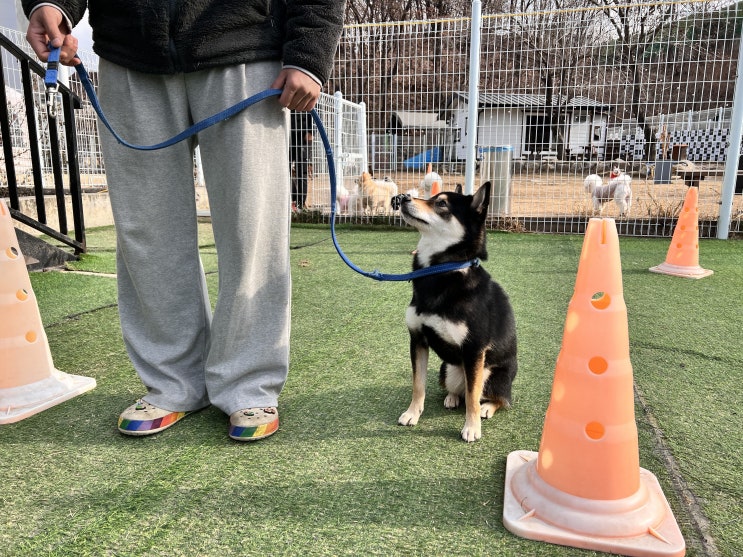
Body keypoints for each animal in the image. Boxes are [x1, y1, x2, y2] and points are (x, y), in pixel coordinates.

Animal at [396, 185, 516, 440]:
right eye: (431, 197)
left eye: (441, 204)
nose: (402, 198)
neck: (440, 270)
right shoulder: (417, 339)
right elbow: (418, 384)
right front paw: (412, 413)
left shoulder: (474, 350)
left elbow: (472, 397)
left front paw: (471, 428)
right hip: (448, 369)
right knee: (459, 391)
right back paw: (451, 398)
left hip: (491, 374)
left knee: (498, 399)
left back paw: (488, 408)